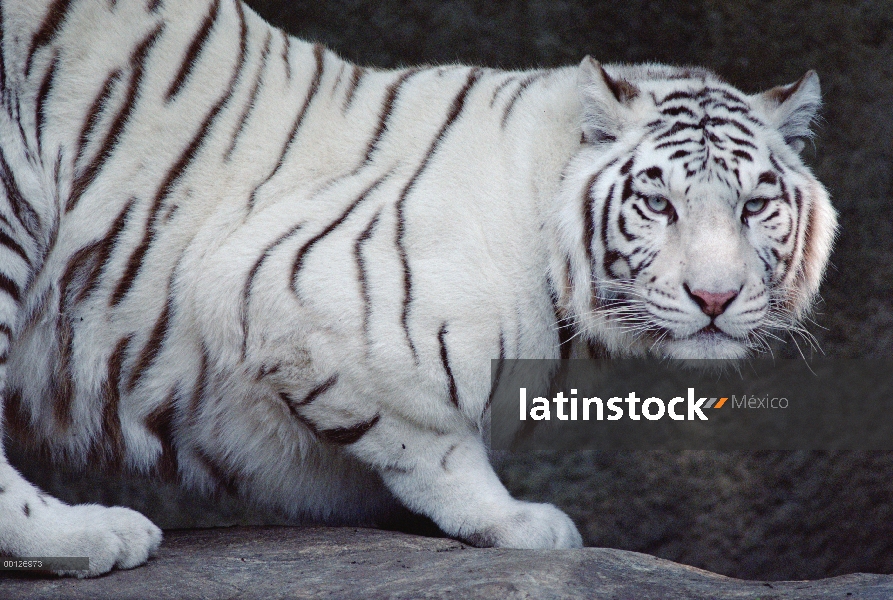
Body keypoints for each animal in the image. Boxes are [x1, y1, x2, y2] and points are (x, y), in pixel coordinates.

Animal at [0, 0, 836, 576]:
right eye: (659, 204)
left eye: (753, 206)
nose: (714, 298)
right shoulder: (300, 298)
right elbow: (432, 443)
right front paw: (518, 521)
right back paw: (93, 534)